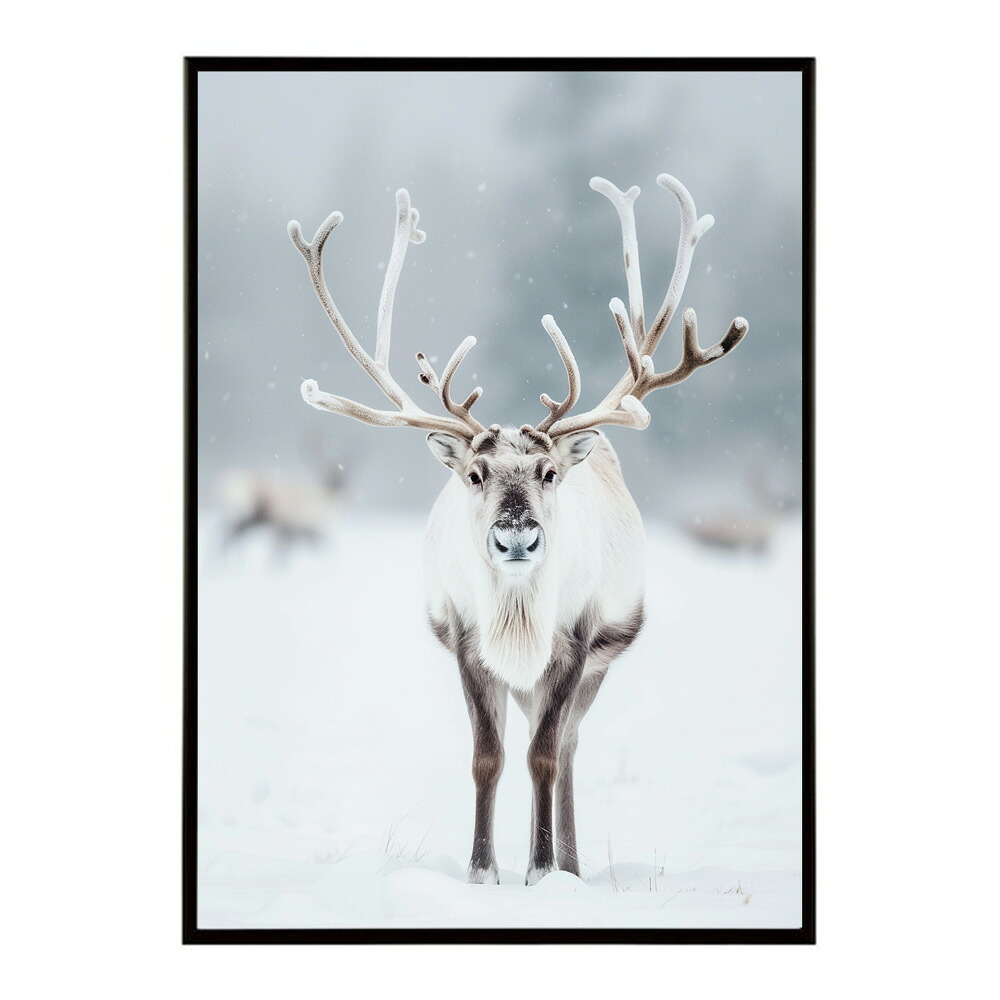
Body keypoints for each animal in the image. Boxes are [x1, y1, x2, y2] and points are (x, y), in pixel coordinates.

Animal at [288, 173, 748, 886]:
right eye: (476, 474)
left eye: (548, 472)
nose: (517, 538)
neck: (517, 622)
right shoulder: (465, 636)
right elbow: (489, 755)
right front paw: (484, 870)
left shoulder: (577, 637)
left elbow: (544, 755)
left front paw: (541, 870)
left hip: (597, 658)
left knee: (567, 744)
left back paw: (570, 862)